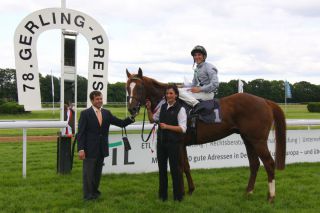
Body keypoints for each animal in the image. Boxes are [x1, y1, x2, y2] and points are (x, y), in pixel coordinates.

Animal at [125, 68, 284, 203]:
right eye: (127, 88)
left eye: (139, 87)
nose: (132, 109)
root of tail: (265, 101)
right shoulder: (183, 145)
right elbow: (186, 166)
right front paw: (190, 190)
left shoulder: (179, 143)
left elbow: (180, 167)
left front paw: (182, 193)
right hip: (248, 139)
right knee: (254, 164)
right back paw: (248, 192)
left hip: (258, 140)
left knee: (269, 163)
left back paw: (271, 197)